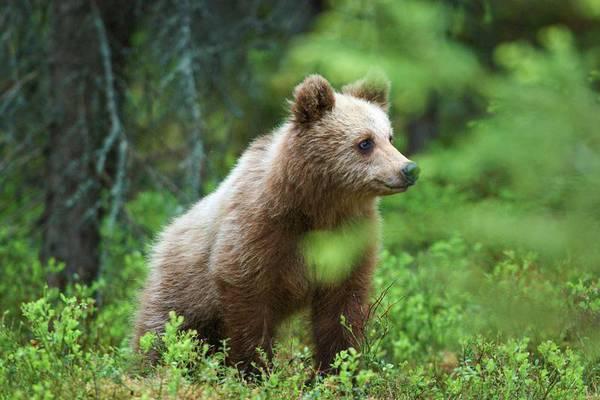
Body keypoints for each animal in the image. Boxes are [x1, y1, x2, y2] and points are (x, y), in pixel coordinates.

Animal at [134, 74, 420, 372]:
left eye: (390, 136)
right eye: (365, 142)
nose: (409, 169)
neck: (315, 208)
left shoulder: (348, 238)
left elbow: (342, 310)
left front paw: (337, 368)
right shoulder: (258, 234)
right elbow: (248, 307)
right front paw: (254, 368)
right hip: (179, 289)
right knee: (160, 333)